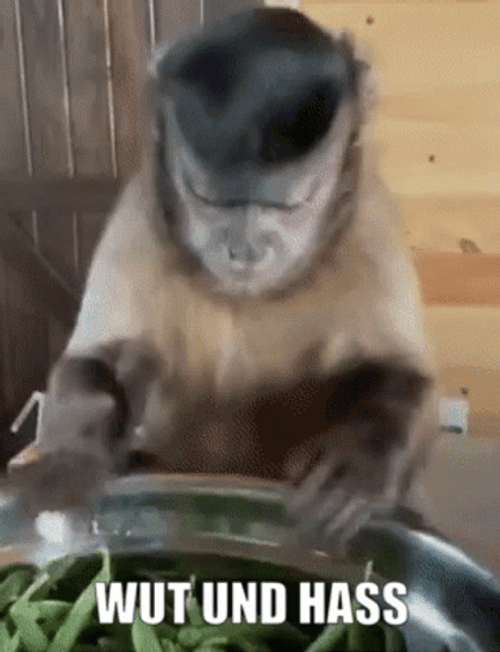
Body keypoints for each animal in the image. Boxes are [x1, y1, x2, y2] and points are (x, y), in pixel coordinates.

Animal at [10, 8, 437, 552]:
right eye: (207, 200)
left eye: (291, 205)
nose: (245, 249)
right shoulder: (139, 216)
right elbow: (90, 360)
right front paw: (72, 456)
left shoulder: (370, 223)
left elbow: (406, 376)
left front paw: (360, 456)